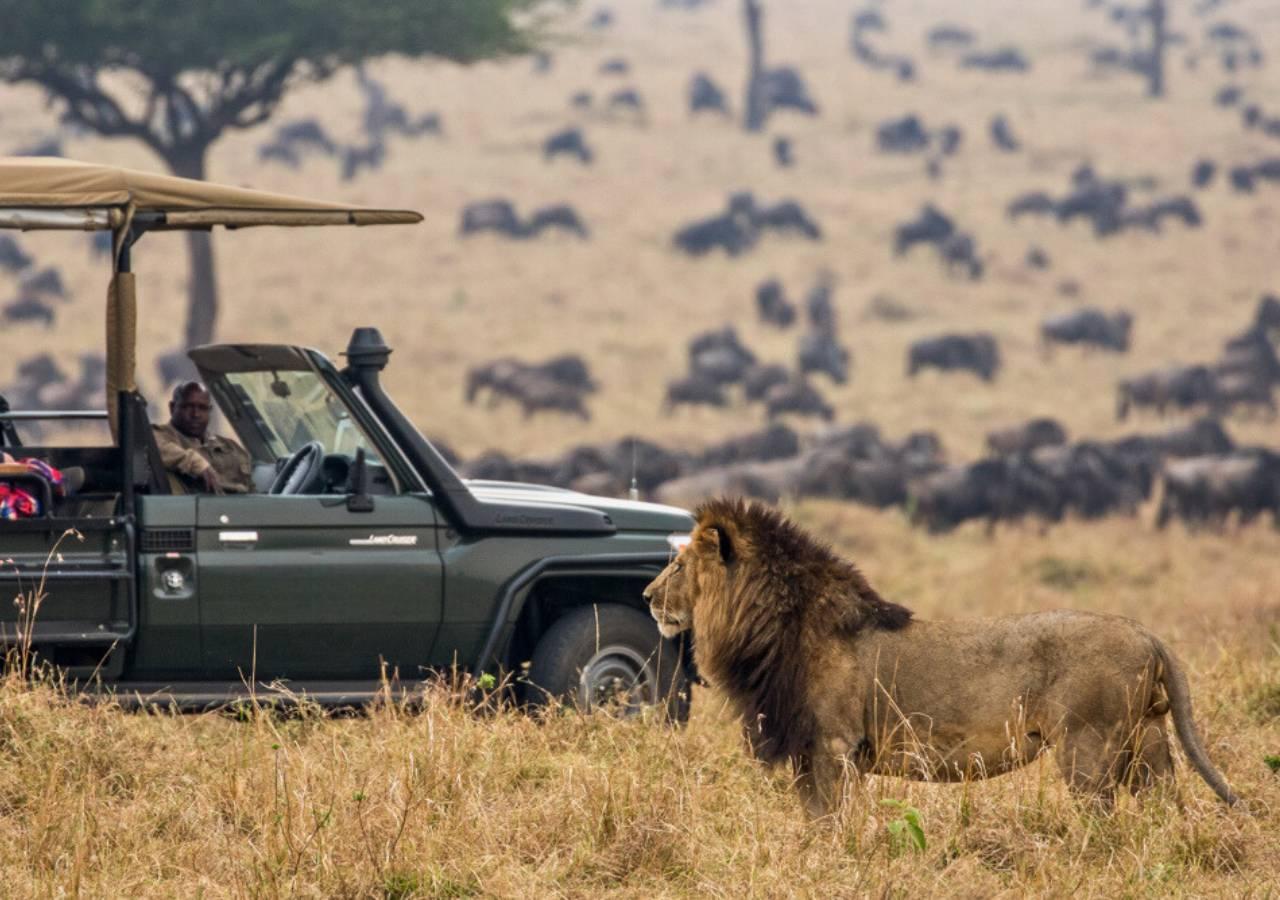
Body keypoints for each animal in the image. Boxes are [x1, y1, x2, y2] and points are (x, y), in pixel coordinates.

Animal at [644, 498, 1239, 818]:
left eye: (678, 565)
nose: (648, 596)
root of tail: (1146, 632)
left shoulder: (835, 747)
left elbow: (833, 823)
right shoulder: (811, 752)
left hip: (1087, 749)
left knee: (1104, 819)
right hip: (1147, 742)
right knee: (1166, 809)